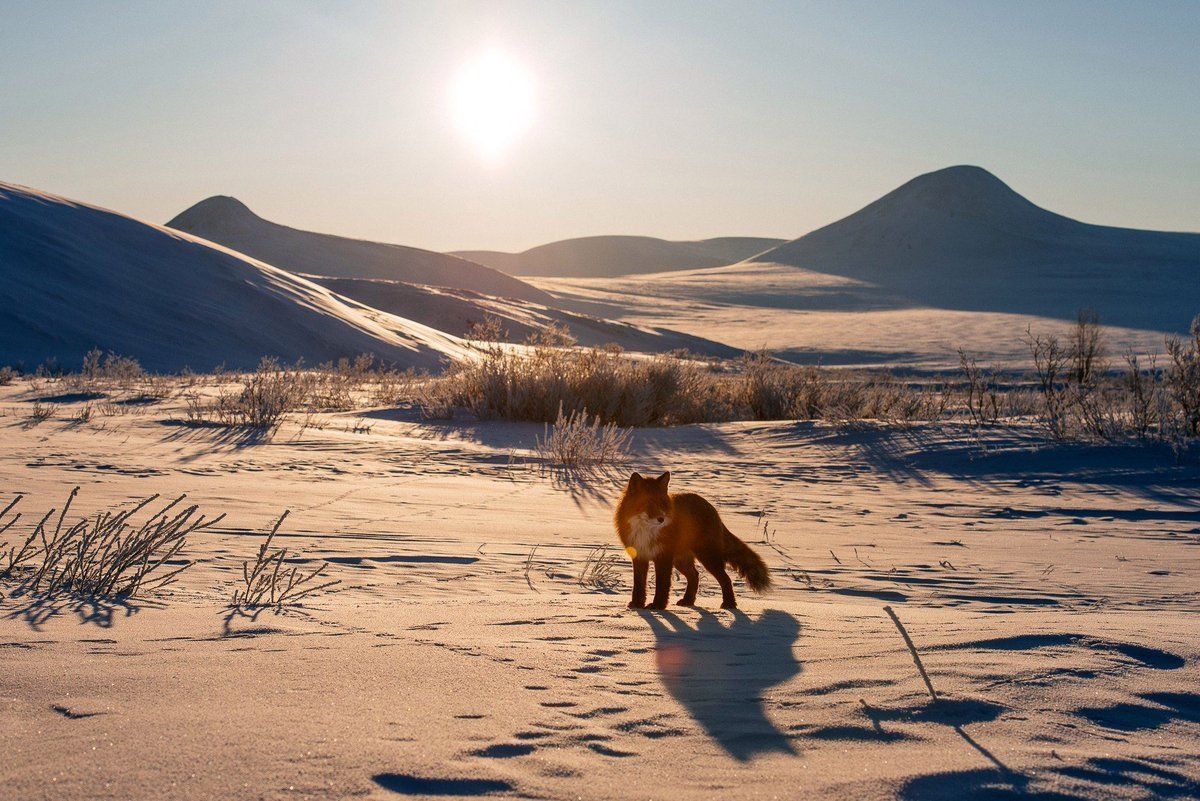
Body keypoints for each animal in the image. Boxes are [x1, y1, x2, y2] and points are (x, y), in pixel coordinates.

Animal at [614, 472, 772, 609]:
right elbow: (638, 585)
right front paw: (637, 604)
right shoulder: (639, 555)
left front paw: (658, 605)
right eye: (648, 503)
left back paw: (729, 604)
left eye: (663, 503)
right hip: (681, 561)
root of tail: (711, 508)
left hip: (707, 558)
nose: (661, 519)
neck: (645, 531)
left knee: (725, 579)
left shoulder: (663, 557)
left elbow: (662, 585)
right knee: (695, 576)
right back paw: (689, 601)